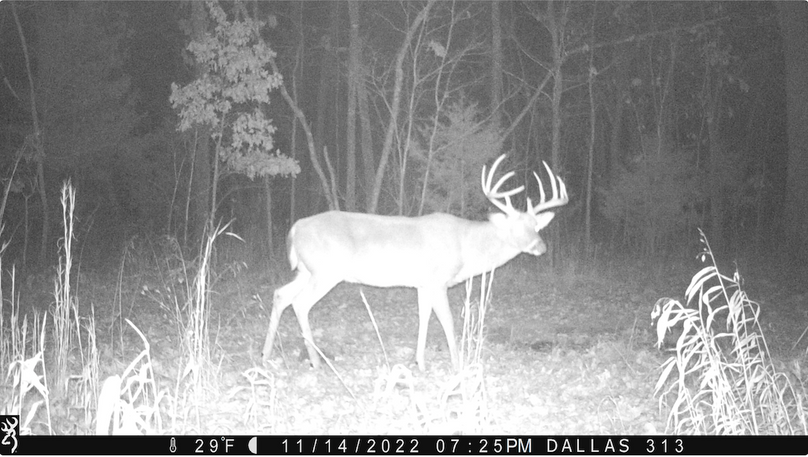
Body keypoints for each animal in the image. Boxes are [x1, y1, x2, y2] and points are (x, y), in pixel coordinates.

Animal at [262, 154, 568, 371]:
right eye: (517, 226)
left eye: (536, 226)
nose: (541, 247)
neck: (467, 247)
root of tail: (295, 228)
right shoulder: (438, 280)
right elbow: (447, 321)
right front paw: (457, 364)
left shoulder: (423, 284)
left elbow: (424, 318)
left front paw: (419, 362)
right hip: (326, 271)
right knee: (300, 303)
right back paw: (315, 361)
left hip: (306, 270)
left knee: (280, 294)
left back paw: (265, 353)